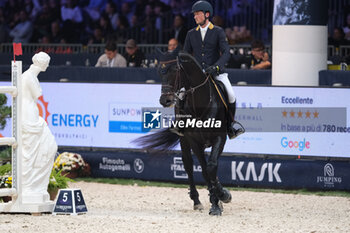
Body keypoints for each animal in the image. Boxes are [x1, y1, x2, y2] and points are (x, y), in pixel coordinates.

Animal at [135, 52, 231, 216]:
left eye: (175, 71)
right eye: (160, 73)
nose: (165, 100)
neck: (200, 104)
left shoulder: (220, 137)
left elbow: (212, 167)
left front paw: (222, 197)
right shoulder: (194, 141)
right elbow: (205, 171)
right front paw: (217, 201)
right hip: (184, 141)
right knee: (188, 166)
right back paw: (197, 201)